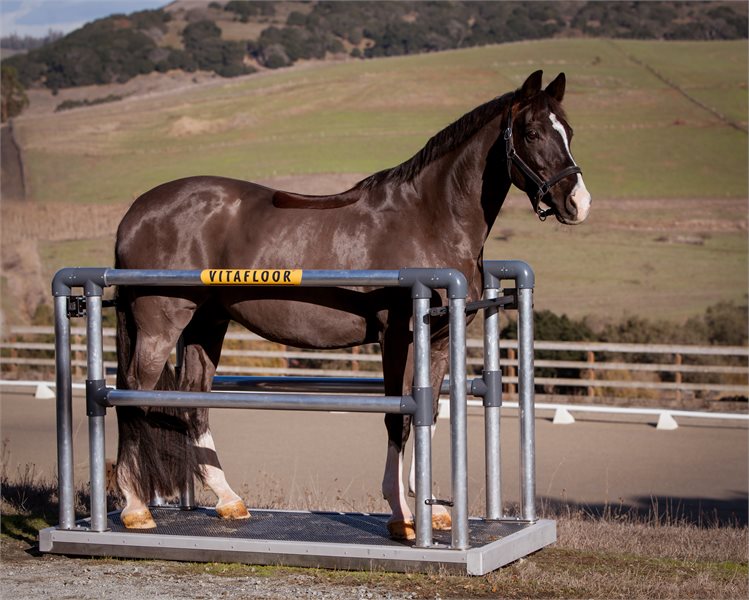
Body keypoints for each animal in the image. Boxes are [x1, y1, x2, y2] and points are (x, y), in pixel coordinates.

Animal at [113, 70, 591, 539]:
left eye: (568, 132)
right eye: (531, 132)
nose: (578, 203)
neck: (430, 218)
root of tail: (137, 212)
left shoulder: (438, 340)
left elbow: (429, 410)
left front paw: (431, 508)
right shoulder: (397, 337)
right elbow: (398, 417)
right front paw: (402, 515)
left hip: (206, 323)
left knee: (193, 400)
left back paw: (229, 501)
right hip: (161, 325)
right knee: (131, 392)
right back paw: (136, 509)